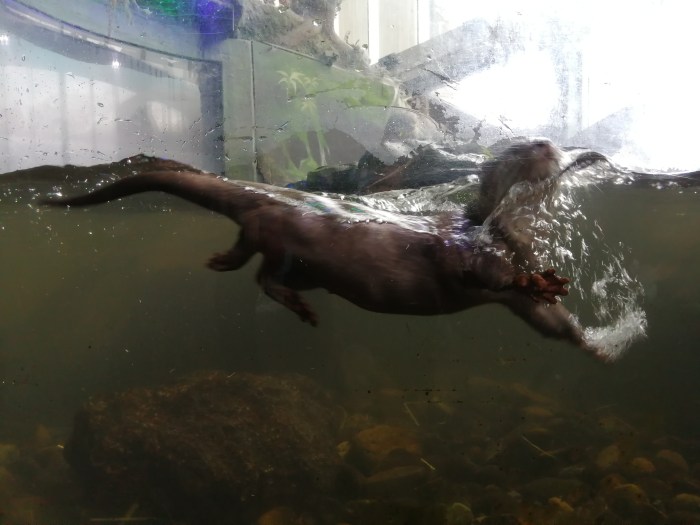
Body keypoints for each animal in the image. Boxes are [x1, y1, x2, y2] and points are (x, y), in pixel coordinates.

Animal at [40, 141, 602, 358]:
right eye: (516, 148)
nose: (547, 145)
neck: (498, 231)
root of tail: (268, 197)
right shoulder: (465, 248)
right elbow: (486, 276)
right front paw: (539, 281)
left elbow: (548, 323)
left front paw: (593, 344)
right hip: (287, 232)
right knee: (258, 261)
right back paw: (251, 276)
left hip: (307, 263)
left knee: (262, 268)